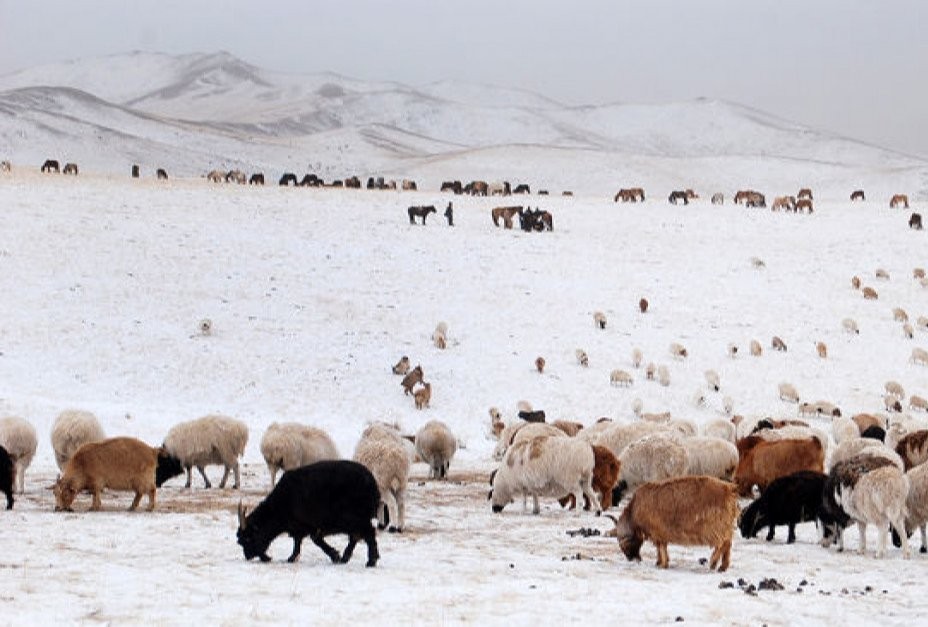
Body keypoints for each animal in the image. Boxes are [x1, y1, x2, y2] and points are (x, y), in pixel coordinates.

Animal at [53, 440, 183, 512]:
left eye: (65, 494)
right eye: (55, 493)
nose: (57, 508)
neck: (82, 465)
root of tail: (152, 451)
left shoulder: (96, 483)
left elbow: (95, 494)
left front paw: (94, 507)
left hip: (144, 479)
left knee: (151, 490)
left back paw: (149, 508)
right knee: (139, 493)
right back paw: (131, 507)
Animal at [237, 458, 378, 568]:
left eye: (248, 538)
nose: (248, 556)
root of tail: (371, 482)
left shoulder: (310, 525)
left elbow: (315, 540)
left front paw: (335, 555)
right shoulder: (299, 526)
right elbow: (298, 542)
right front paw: (292, 557)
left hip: (356, 519)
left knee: (368, 534)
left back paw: (370, 561)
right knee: (357, 536)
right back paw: (347, 557)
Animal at [608, 476, 740, 576]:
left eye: (623, 543)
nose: (632, 559)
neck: (634, 510)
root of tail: (730, 489)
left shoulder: (658, 531)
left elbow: (661, 547)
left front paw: (663, 564)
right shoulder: (659, 533)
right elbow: (661, 547)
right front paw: (659, 561)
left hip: (716, 527)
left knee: (722, 544)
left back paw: (713, 562)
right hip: (725, 526)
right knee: (728, 543)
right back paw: (723, 566)